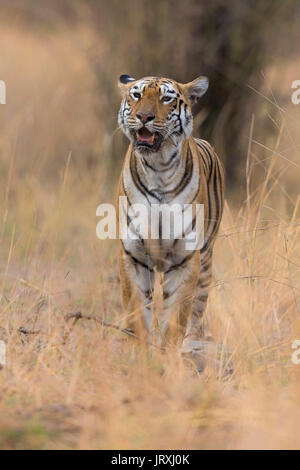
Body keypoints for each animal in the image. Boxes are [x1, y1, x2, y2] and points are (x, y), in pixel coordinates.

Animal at [116, 73, 224, 364]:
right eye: (136, 95)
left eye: (166, 98)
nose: (144, 116)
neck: (158, 168)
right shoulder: (134, 256)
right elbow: (138, 313)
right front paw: (141, 355)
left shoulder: (185, 259)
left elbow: (176, 318)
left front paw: (167, 358)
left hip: (206, 262)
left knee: (195, 314)